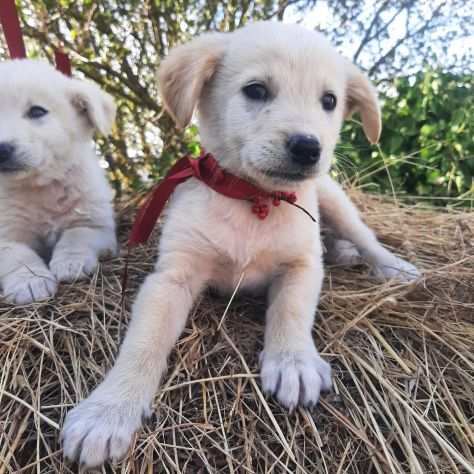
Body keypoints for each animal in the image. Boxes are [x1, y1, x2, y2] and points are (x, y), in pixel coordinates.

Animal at [0, 59, 117, 304]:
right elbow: (17, 255)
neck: (40, 187)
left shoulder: (96, 224)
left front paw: (71, 262)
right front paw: (30, 281)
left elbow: (77, 235)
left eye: (37, 111)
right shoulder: (5, 235)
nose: (0, 149)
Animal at [62, 21, 418, 466]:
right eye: (256, 90)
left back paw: (391, 266)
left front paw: (292, 361)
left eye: (329, 101)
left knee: (364, 236)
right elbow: (143, 342)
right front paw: (108, 410)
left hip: (334, 199)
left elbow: (291, 310)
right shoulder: (171, 277)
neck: (254, 200)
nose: (308, 147)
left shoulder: (302, 264)